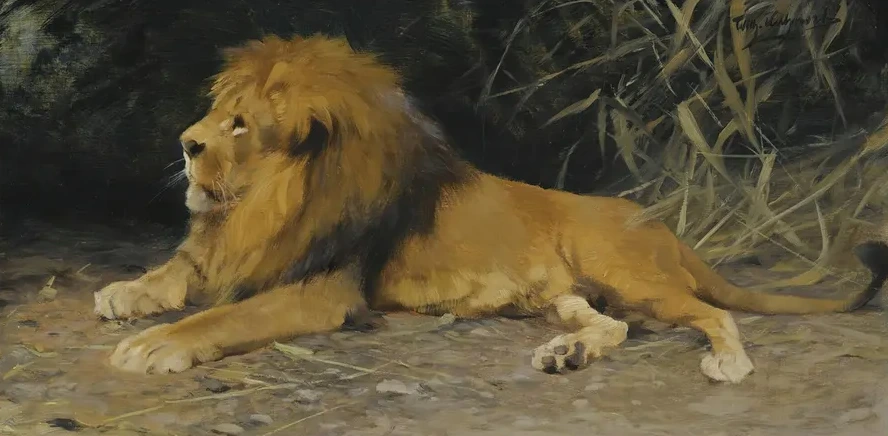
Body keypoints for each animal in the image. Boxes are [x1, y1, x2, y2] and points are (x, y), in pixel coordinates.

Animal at [93, 34, 888, 383]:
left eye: (238, 125)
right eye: (216, 113)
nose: (184, 142)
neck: (270, 203)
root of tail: (659, 223)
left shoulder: (323, 289)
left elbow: (224, 316)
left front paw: (155, 344)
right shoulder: (227, 247)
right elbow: (175, 271)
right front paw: (122, 295)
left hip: (624, 270)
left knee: (711, 313)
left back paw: (726, 361)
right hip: (559, 294)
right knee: (614, 325)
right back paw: (567, 353)